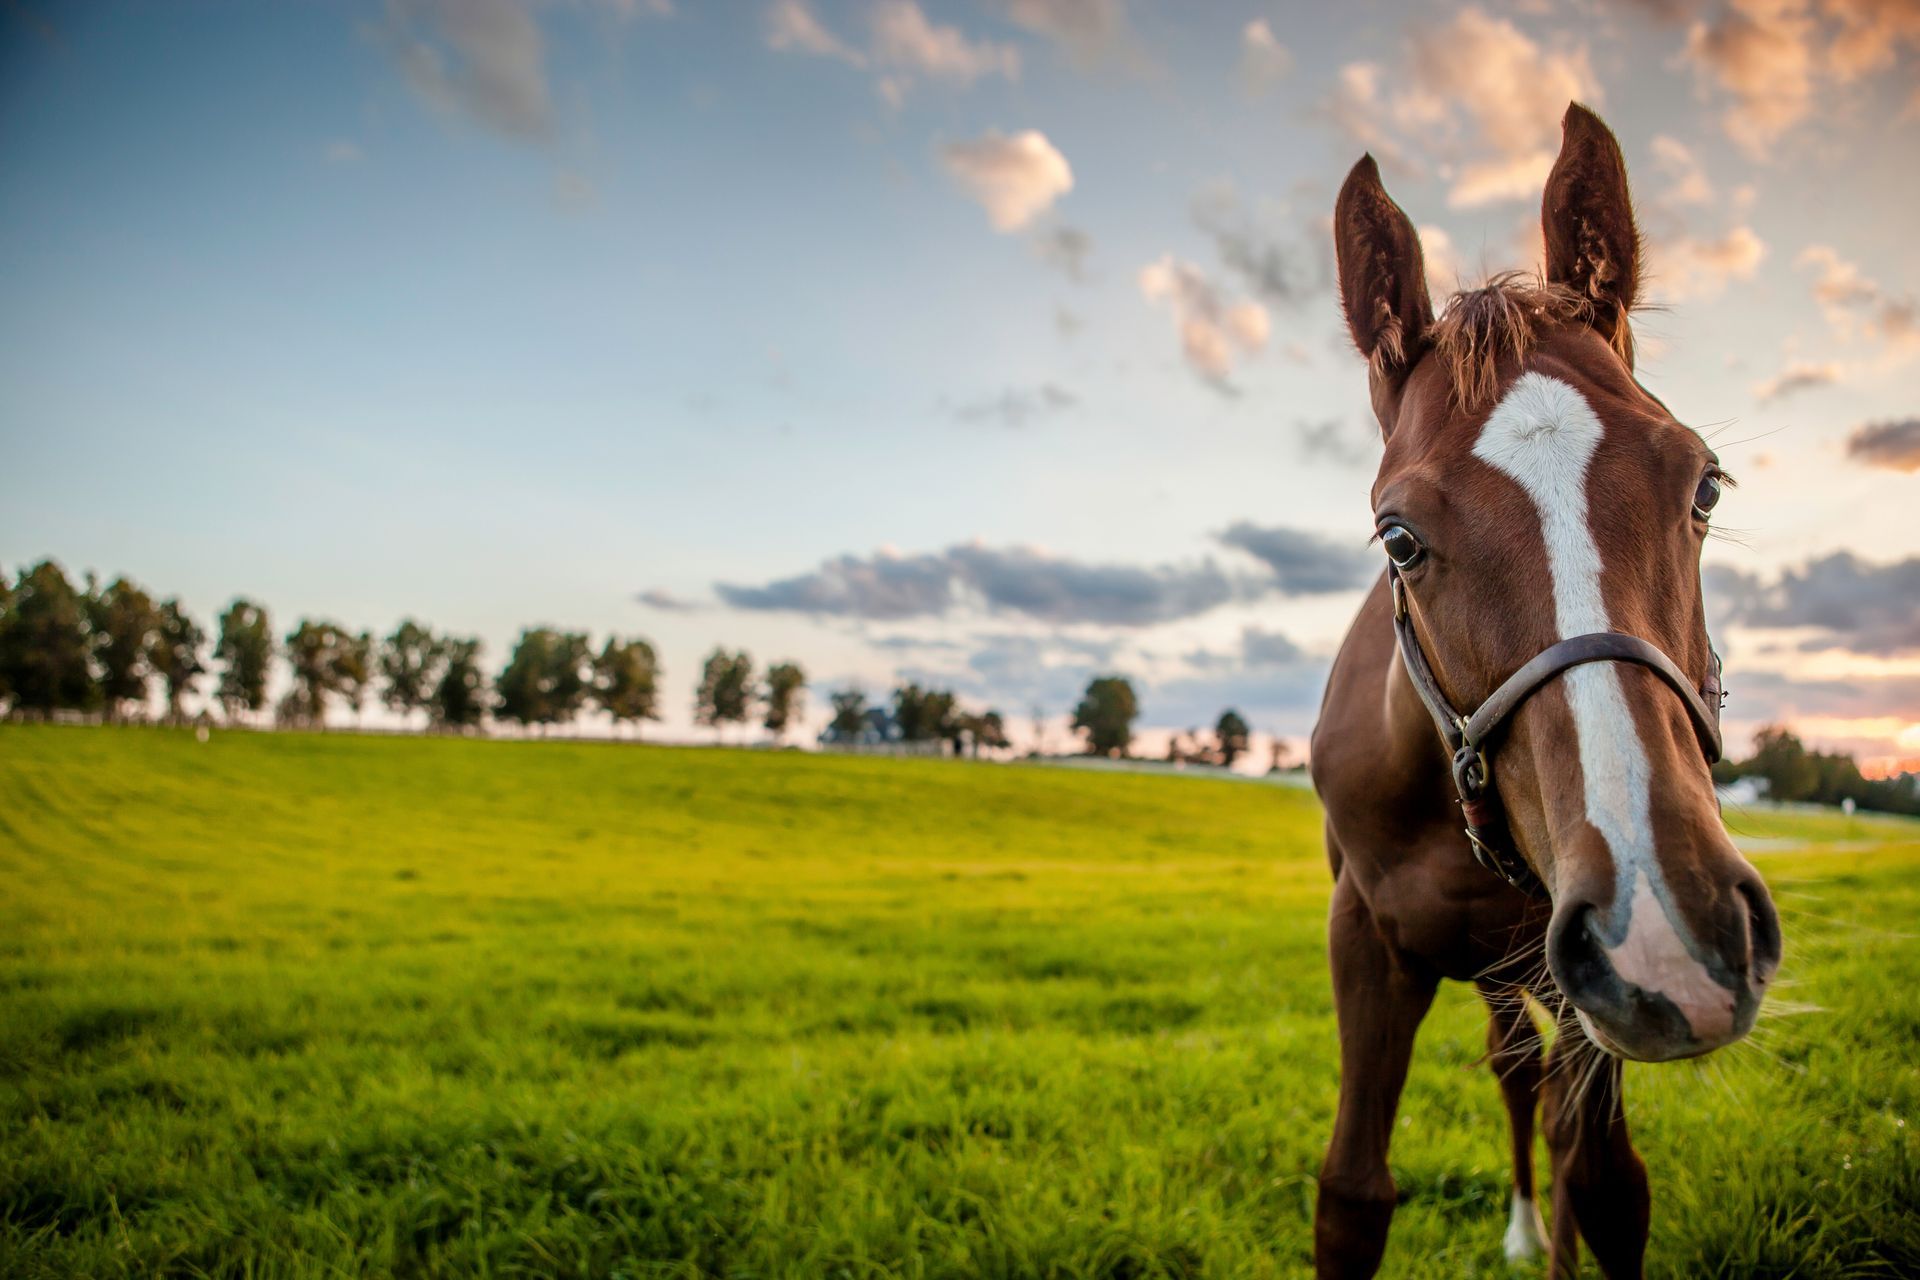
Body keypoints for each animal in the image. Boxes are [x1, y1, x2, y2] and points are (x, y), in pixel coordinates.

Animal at [1308, 103, 1782, 1279]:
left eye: (1704, 486)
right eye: (1398, 534)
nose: (1671, 926)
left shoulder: (1586, 974)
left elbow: (1605, 1180)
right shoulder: (1366, 940)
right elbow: (1352, 1195)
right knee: (1516, 1068)